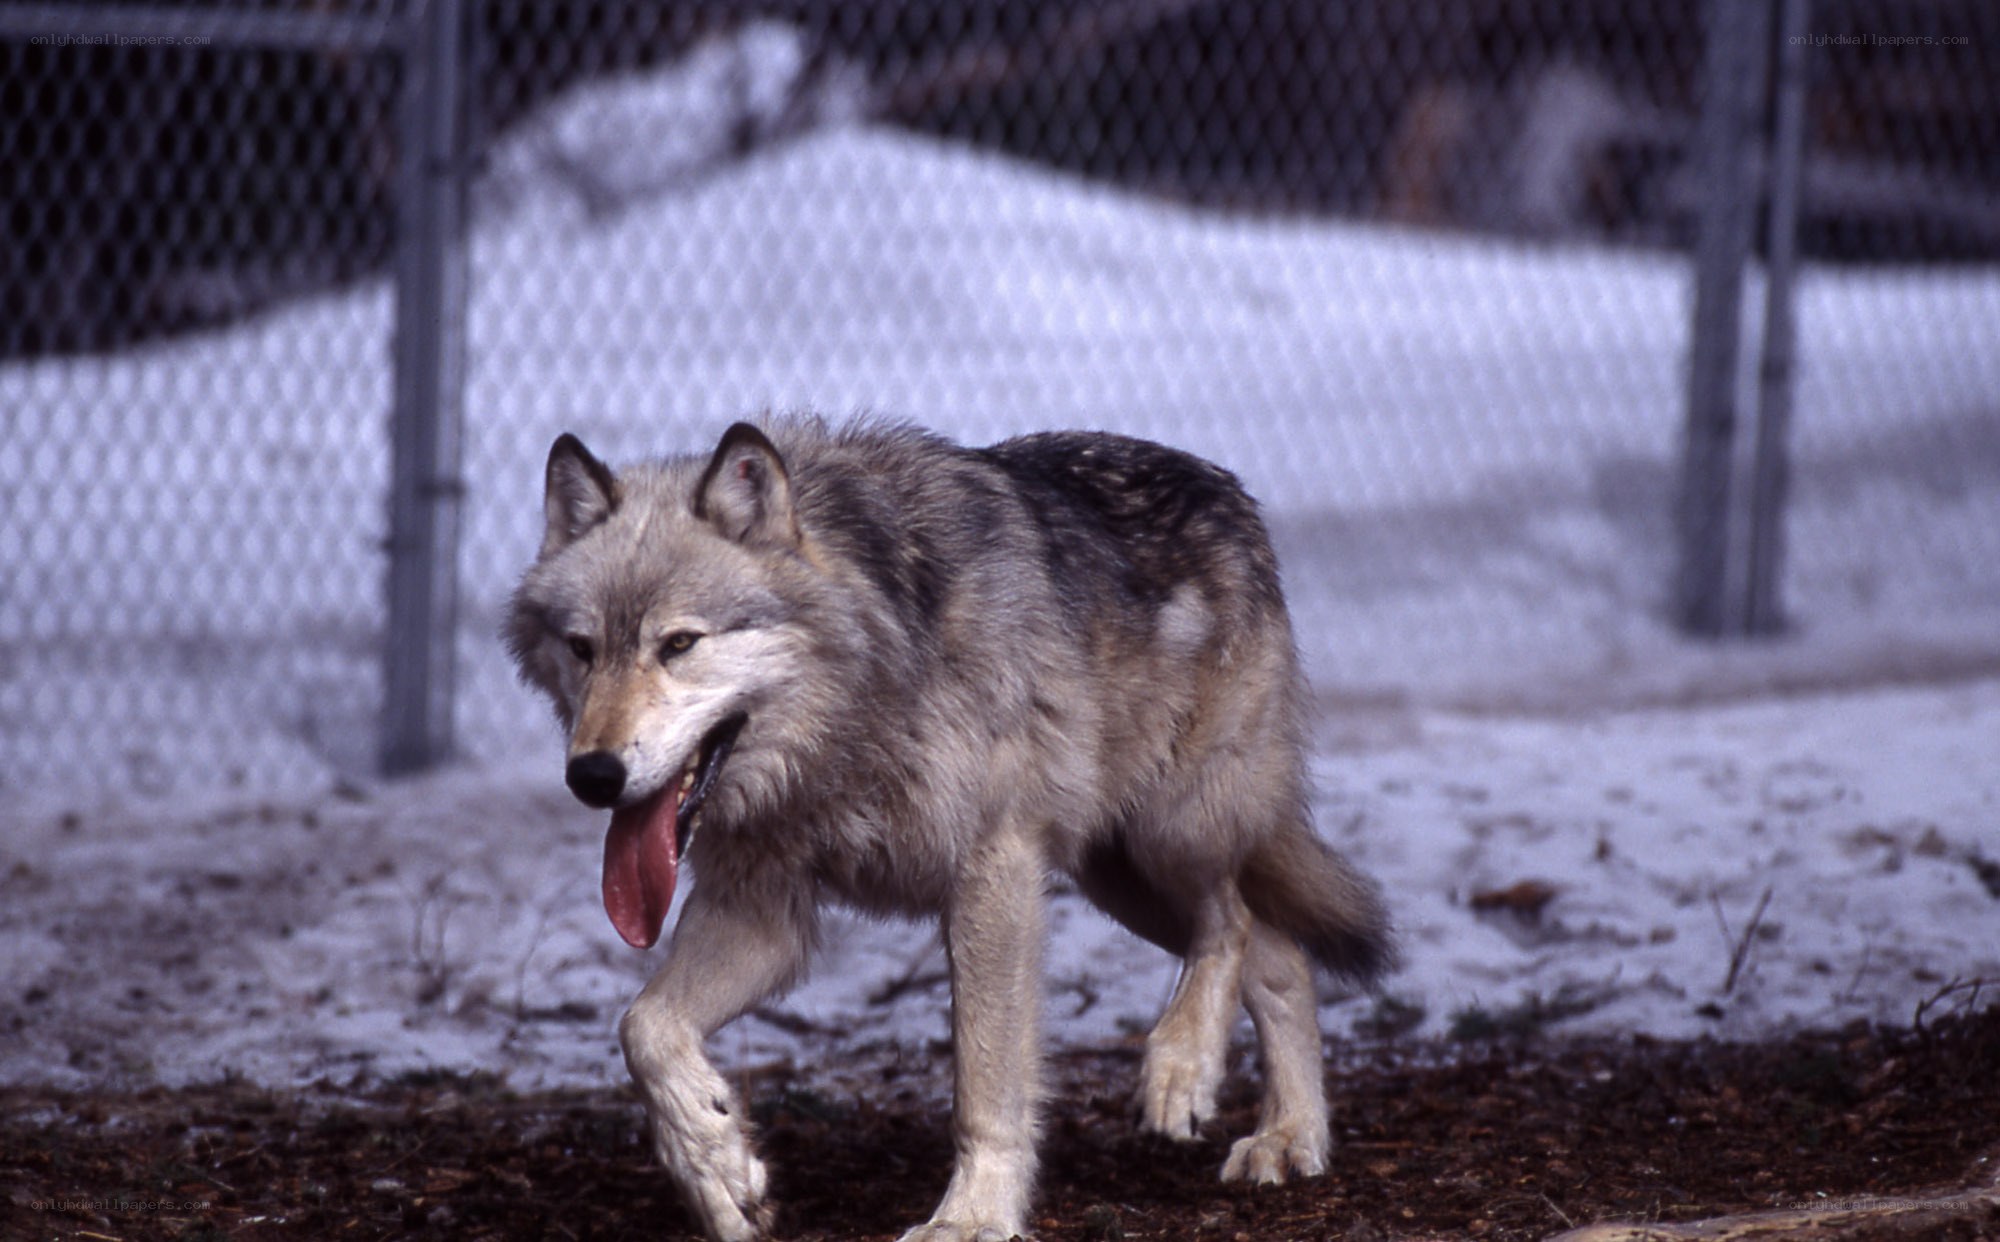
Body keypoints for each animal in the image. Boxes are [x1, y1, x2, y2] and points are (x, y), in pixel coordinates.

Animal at [506, 418, 1390, 1242]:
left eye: (680, 644)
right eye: (582, 649)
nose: (592, 776)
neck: (861, 692)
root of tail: (1226, 488)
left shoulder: (991, 874)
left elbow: (986, 1085)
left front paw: (973, 1217)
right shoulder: (764, 915)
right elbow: (644, 1028)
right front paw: (719, 1169)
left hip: (1170, 834)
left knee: (1233, 922)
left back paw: (1186, 1069)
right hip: (1119, 881)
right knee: (1281, 953)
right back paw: (1290, 1139)